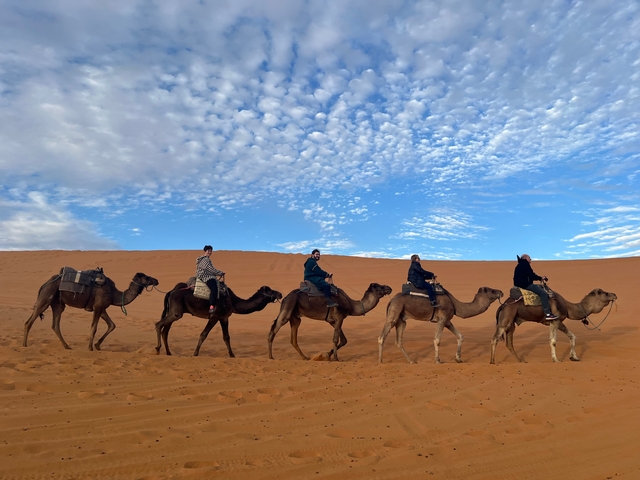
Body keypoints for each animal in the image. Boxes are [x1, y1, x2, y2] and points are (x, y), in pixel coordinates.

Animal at [23, 271, 159, 351]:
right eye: (147, 277)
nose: (157, 280)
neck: (114, 294)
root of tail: (44, 284)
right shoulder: (98, 307)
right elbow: (94, 327)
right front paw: (90, 347)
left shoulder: (101, 308)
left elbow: (112, 325)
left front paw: (97, 345)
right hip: (46, 298)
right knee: (29, 321)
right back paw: (24, 345)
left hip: (57, 304)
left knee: (55, 325)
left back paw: (67, 346)